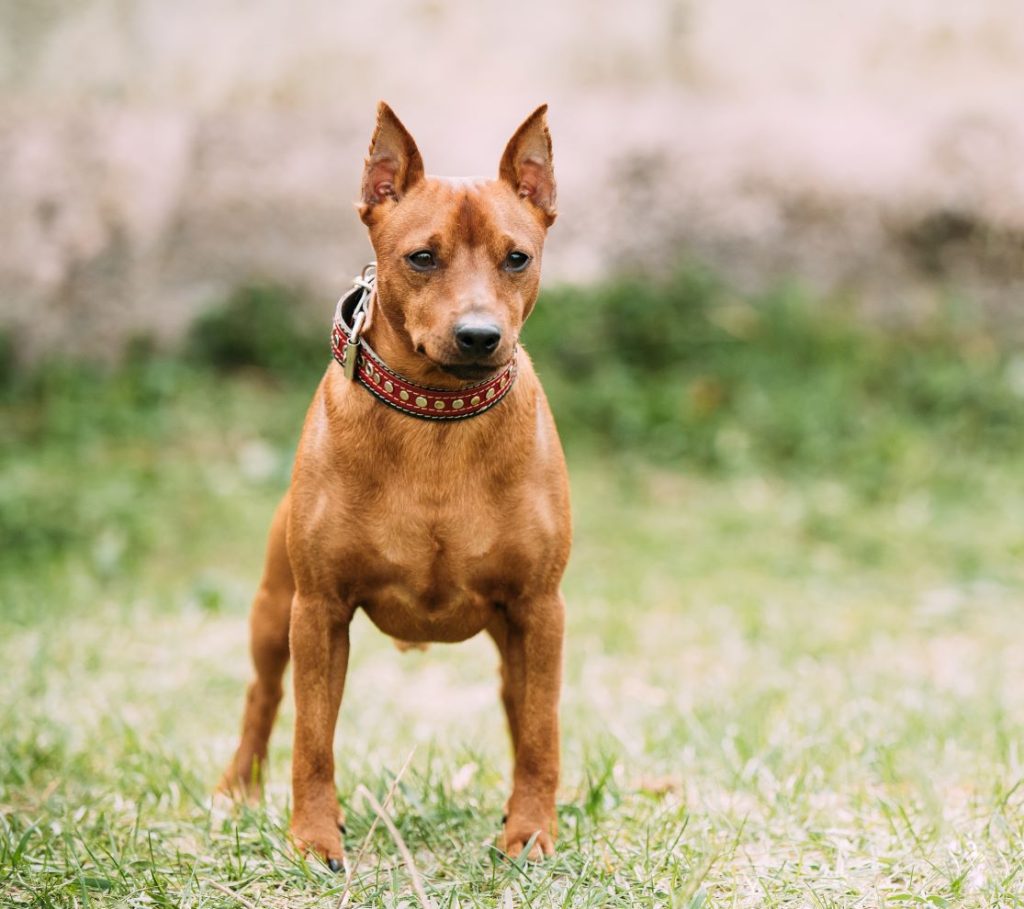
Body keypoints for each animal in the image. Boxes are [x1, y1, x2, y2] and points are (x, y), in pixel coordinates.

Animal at [217, 102, 573, 863]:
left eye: (517, 257)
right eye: (422, 256)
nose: (479, 335)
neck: (437, 421)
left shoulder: (540, 610)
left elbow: (540, 734)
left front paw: (530, 830)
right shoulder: (319, 612)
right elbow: (313, 740)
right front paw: (314, 836)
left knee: (520, 708)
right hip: (272, 612)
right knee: (264, 697)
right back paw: (237, 786)